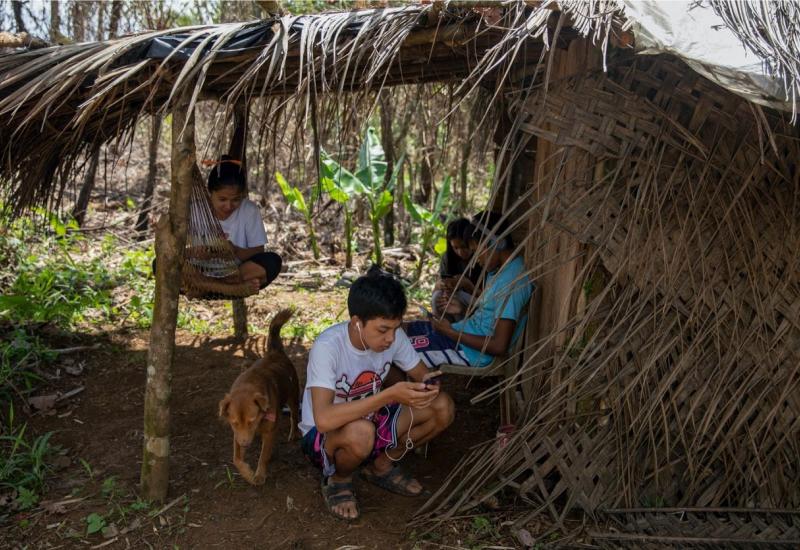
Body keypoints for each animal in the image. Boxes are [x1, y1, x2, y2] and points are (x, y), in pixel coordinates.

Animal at [219, 310, 300, 488]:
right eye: (234, 423)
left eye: (252, 421)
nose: (244, 444)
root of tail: (275, 352)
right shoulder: (237, 434)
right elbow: (236, 459)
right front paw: (248, 473)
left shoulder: (269, 432)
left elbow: (263, 456)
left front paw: (259, 475)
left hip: (293, 396)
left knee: (294, 416)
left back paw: (294, 433)